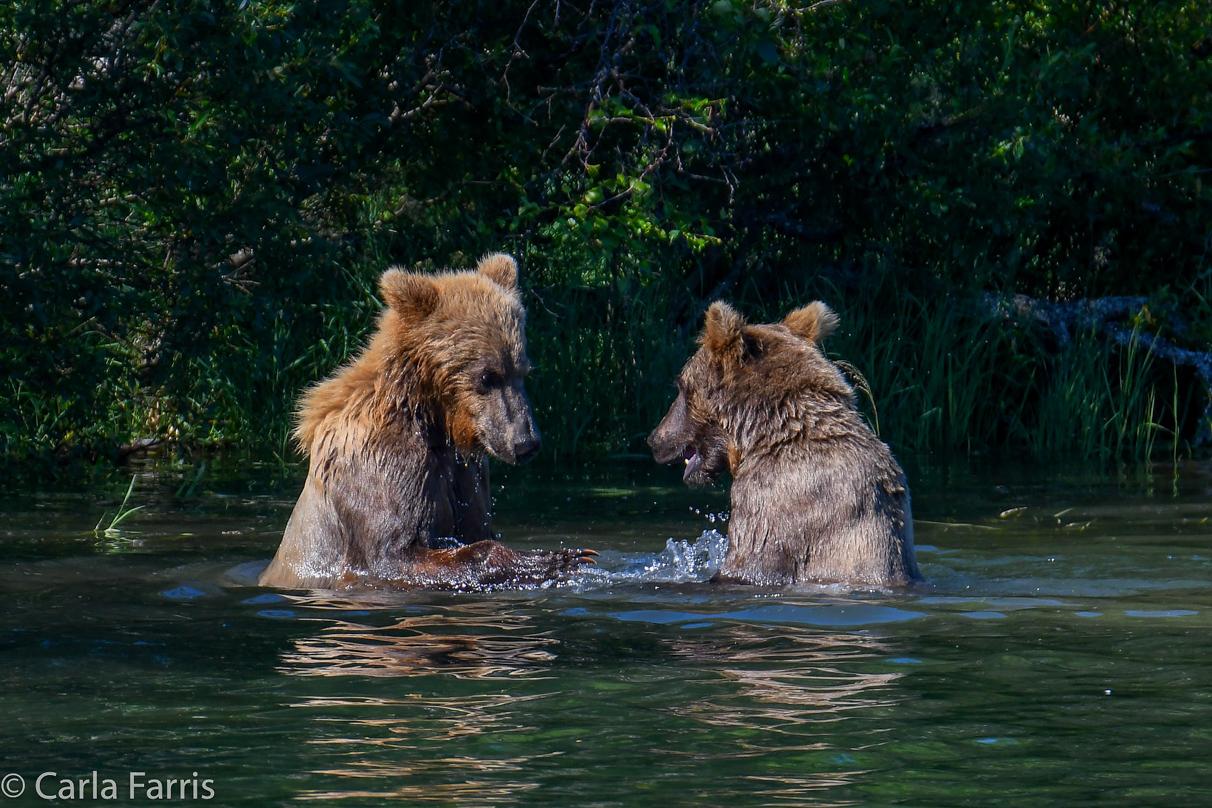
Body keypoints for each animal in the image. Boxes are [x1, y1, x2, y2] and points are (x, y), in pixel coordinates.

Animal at [261, 255, 596, 591]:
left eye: (523, 371)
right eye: (487, 376)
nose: (526, 443)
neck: (432, 416)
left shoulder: (464, 470)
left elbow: (474, 523)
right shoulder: (383, 462)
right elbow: (394, 555)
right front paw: (558, 558)